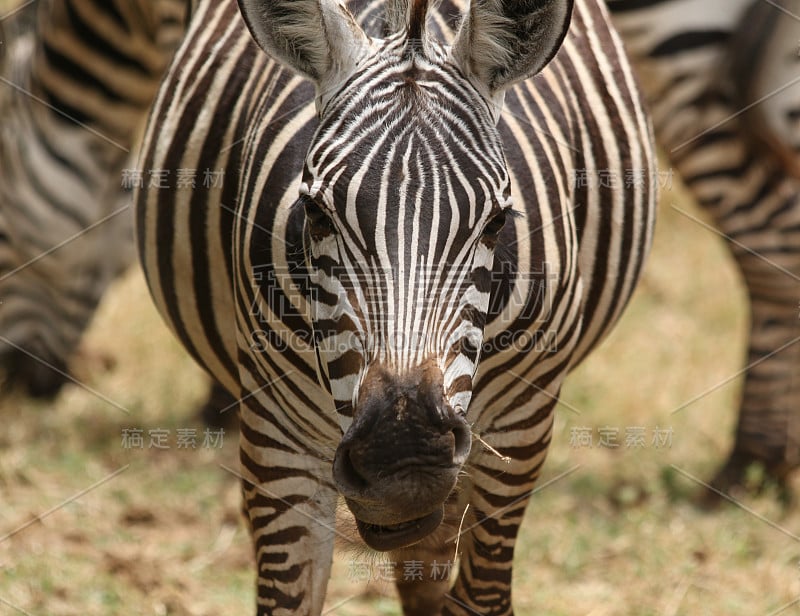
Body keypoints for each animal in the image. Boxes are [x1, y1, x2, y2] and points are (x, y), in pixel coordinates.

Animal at [136, 0, 656, 612]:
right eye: (316, 214)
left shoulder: (521, 430)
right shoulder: (276, 436)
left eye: (497, 222)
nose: (402, 457)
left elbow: (480, 595)